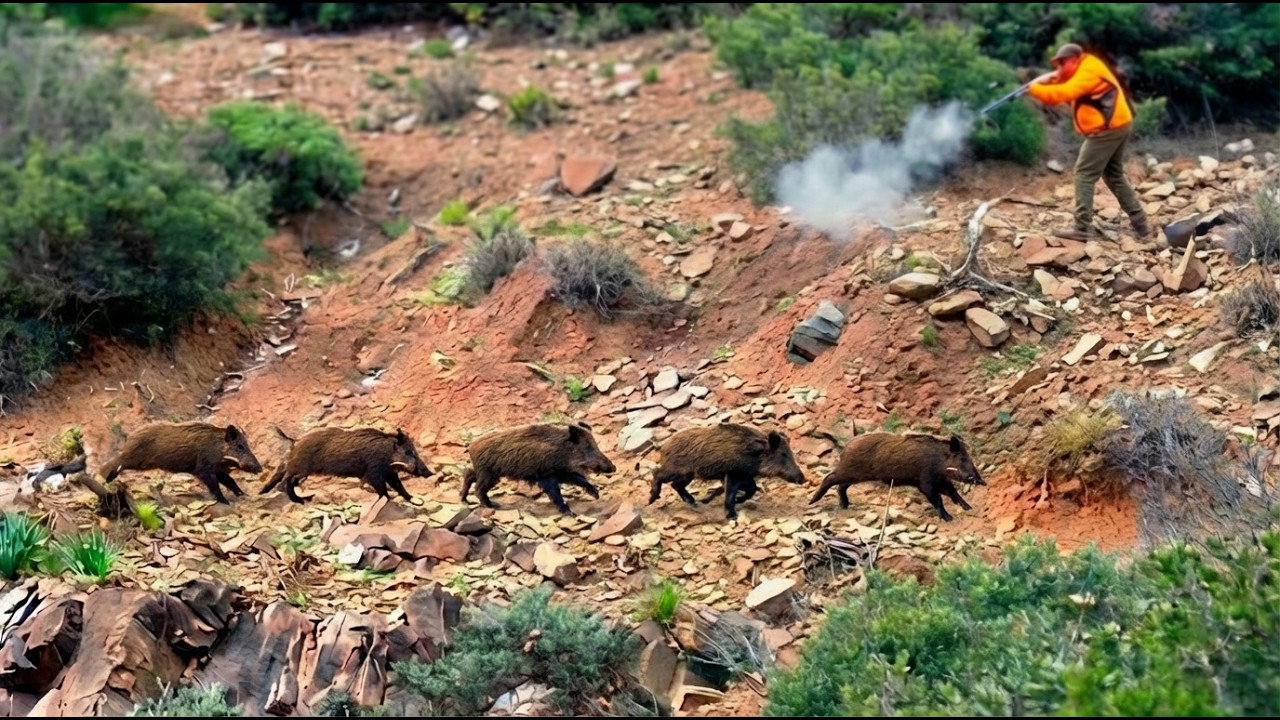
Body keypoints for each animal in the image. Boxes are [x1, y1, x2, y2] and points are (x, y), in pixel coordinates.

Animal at [97, 421, 263, 504]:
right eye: (240, 446)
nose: (260, 469)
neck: (218, 447)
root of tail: (130, 437)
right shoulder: (204, 469)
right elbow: (215, 487)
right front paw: (225, 501)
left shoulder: (218, 470)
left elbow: (231, 481)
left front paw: (244, 495)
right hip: (134, 459)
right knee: (117, 461)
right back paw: (105, 477)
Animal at [258, 426, 433, 503]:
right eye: (409, 452)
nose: (429, 473)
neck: (386, 453)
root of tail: (295, 441)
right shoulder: (373, 472)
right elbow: (383, 490)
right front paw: (387, 500)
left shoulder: (389, 473)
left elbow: (399, 487)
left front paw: (413, 499)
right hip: (301, 468)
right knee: (287, 480)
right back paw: (300, 500)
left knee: (283, 477)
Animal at [460, 422, 616, 515]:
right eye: (588, 447)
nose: (613, 467)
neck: (562, 451)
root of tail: (472, 447)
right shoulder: (546, 475)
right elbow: (556, 493)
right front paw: (569, 513)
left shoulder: (561, 472)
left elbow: (579, 479)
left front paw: (596, 495)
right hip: (489, 474)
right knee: (478, 489)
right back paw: (492, 506)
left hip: (487, 473)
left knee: (469, 474)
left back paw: (464, 500)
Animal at [648, 423, 806, 521]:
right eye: (783, 454)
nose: (803, 479)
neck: (755, 455)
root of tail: (664, 447)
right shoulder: (733, 473)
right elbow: (731, 494)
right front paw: (732, 517)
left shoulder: (744, 476)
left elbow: (752, 488)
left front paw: (739, 501)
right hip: (677, 470)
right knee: (657, 474)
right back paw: (652, 500)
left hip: (688, 475)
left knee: (675, 485)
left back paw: (693, 502)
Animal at [807, 432, 985, 521]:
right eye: (962, 458)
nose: (981, 480)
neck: (938, 460)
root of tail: (846, 446)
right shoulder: (925, 481)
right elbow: (938, 499)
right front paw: (949, 518)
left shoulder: (941, 480)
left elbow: (954, 493)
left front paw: (968, 507)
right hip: (849, 471)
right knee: (829, 478)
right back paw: (811, 502)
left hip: (855, 476)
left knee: (840, 486)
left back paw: (845, 505)